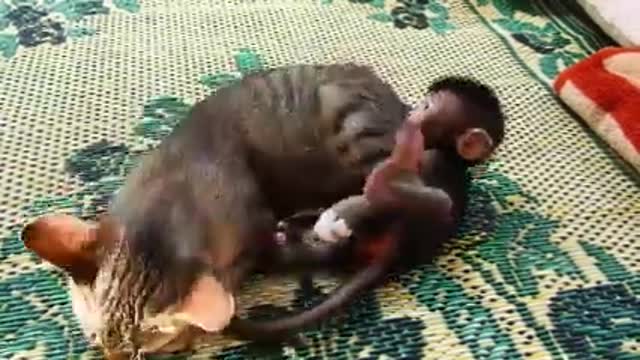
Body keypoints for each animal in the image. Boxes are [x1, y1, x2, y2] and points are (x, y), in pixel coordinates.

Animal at [230, 75, 504, 340]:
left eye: (426, 107)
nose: (409, 113)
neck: (452, 156)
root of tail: (394, 255)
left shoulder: (430, 160)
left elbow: (431, 202)